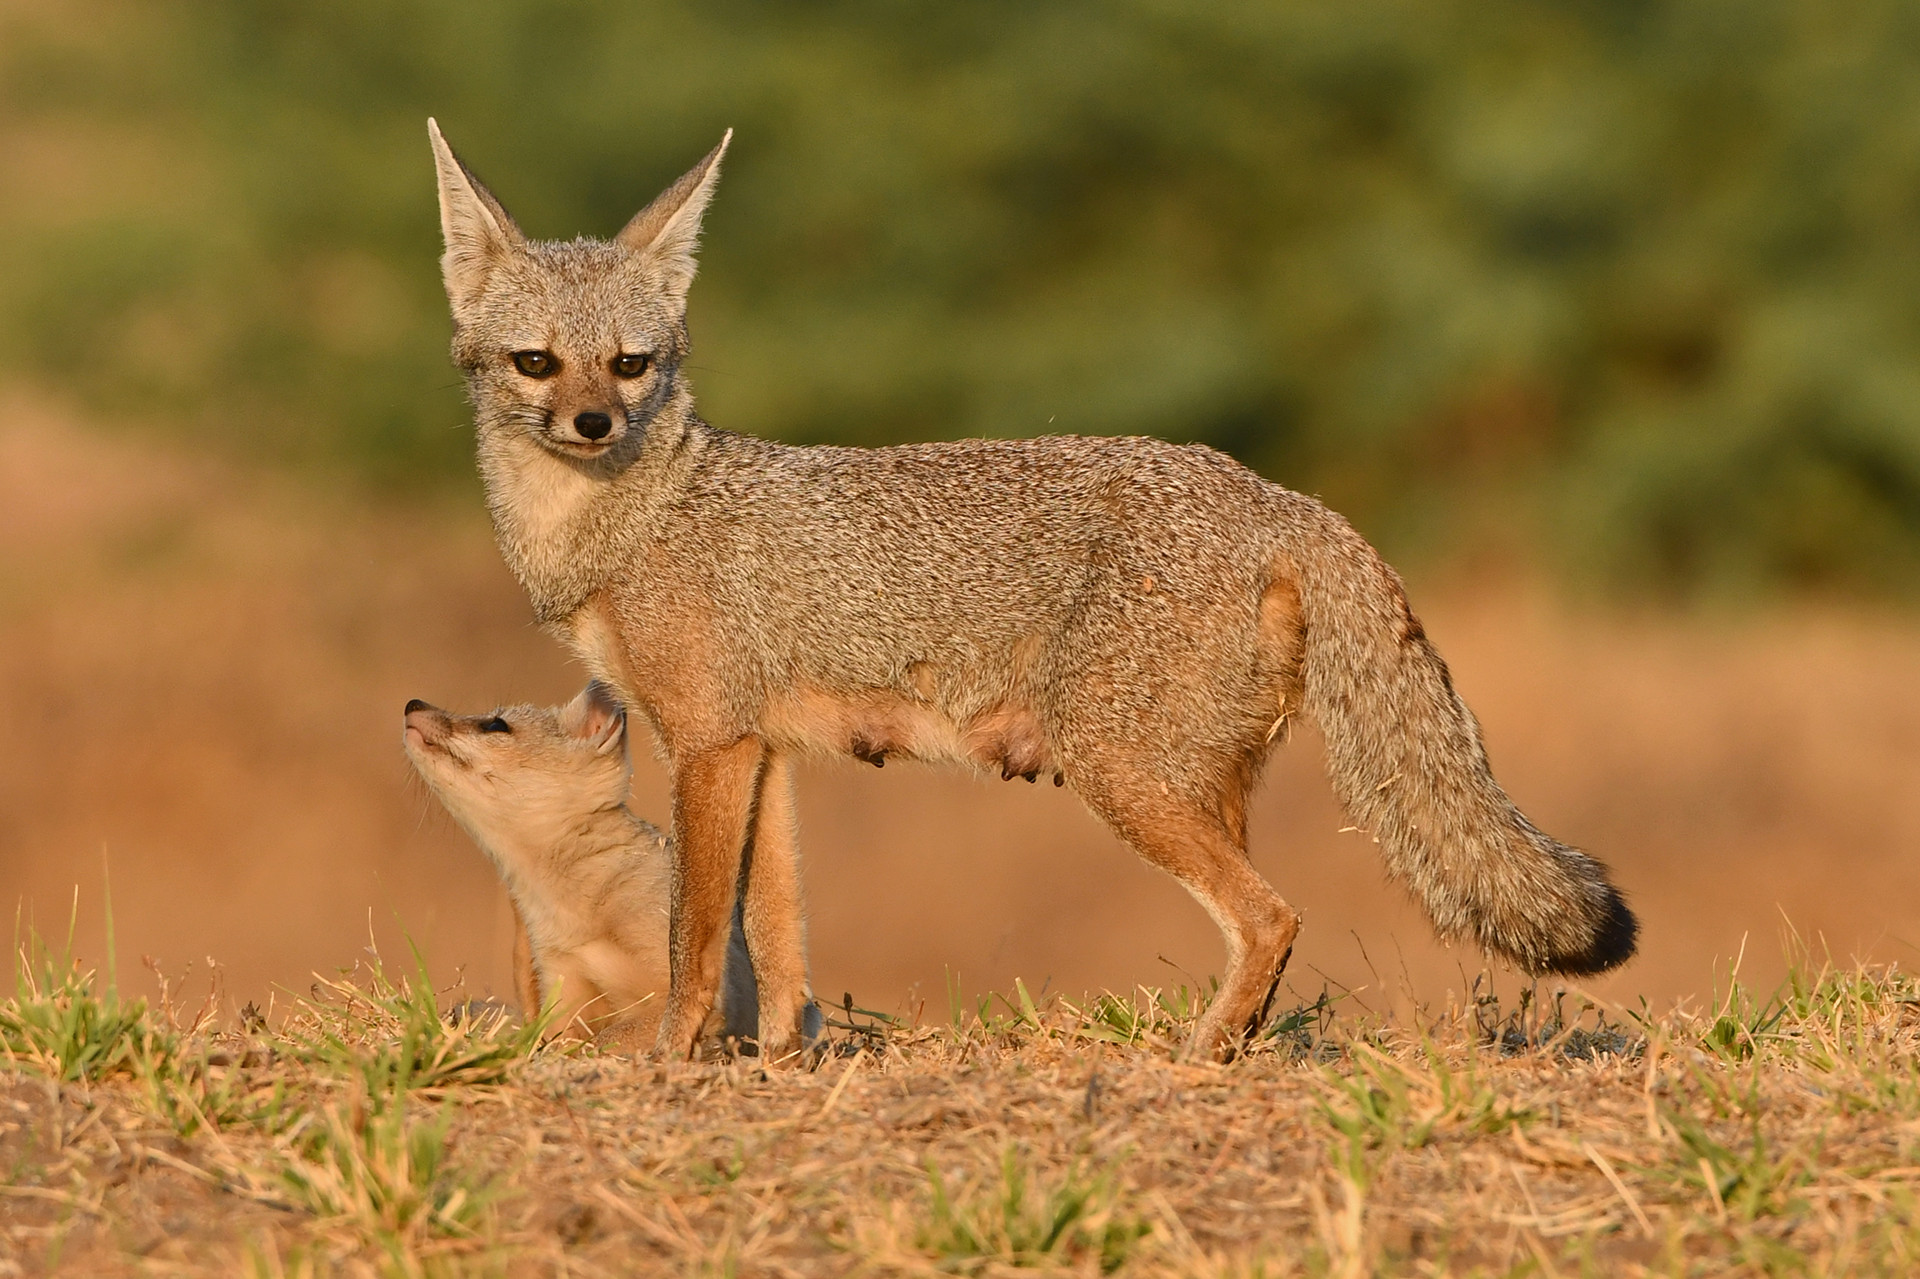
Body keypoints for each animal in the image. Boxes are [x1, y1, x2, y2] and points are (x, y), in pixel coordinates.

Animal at [401, 681, 821, 1056]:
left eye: (495, 725)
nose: (412, 704)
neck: (573, 915)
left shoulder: (682, 988)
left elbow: (605, 1041)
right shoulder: (562, 983)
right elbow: (557, 1045)